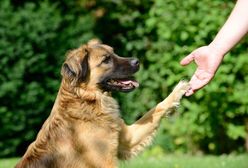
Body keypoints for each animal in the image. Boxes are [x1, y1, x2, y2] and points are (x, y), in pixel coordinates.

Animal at [15, 39, 189, 168]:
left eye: (114, 53)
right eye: (106, 60)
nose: (137, 61)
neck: (87, 100)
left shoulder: (127, 140)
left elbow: (156, 108)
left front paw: (178, 90)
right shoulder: (106, 162)